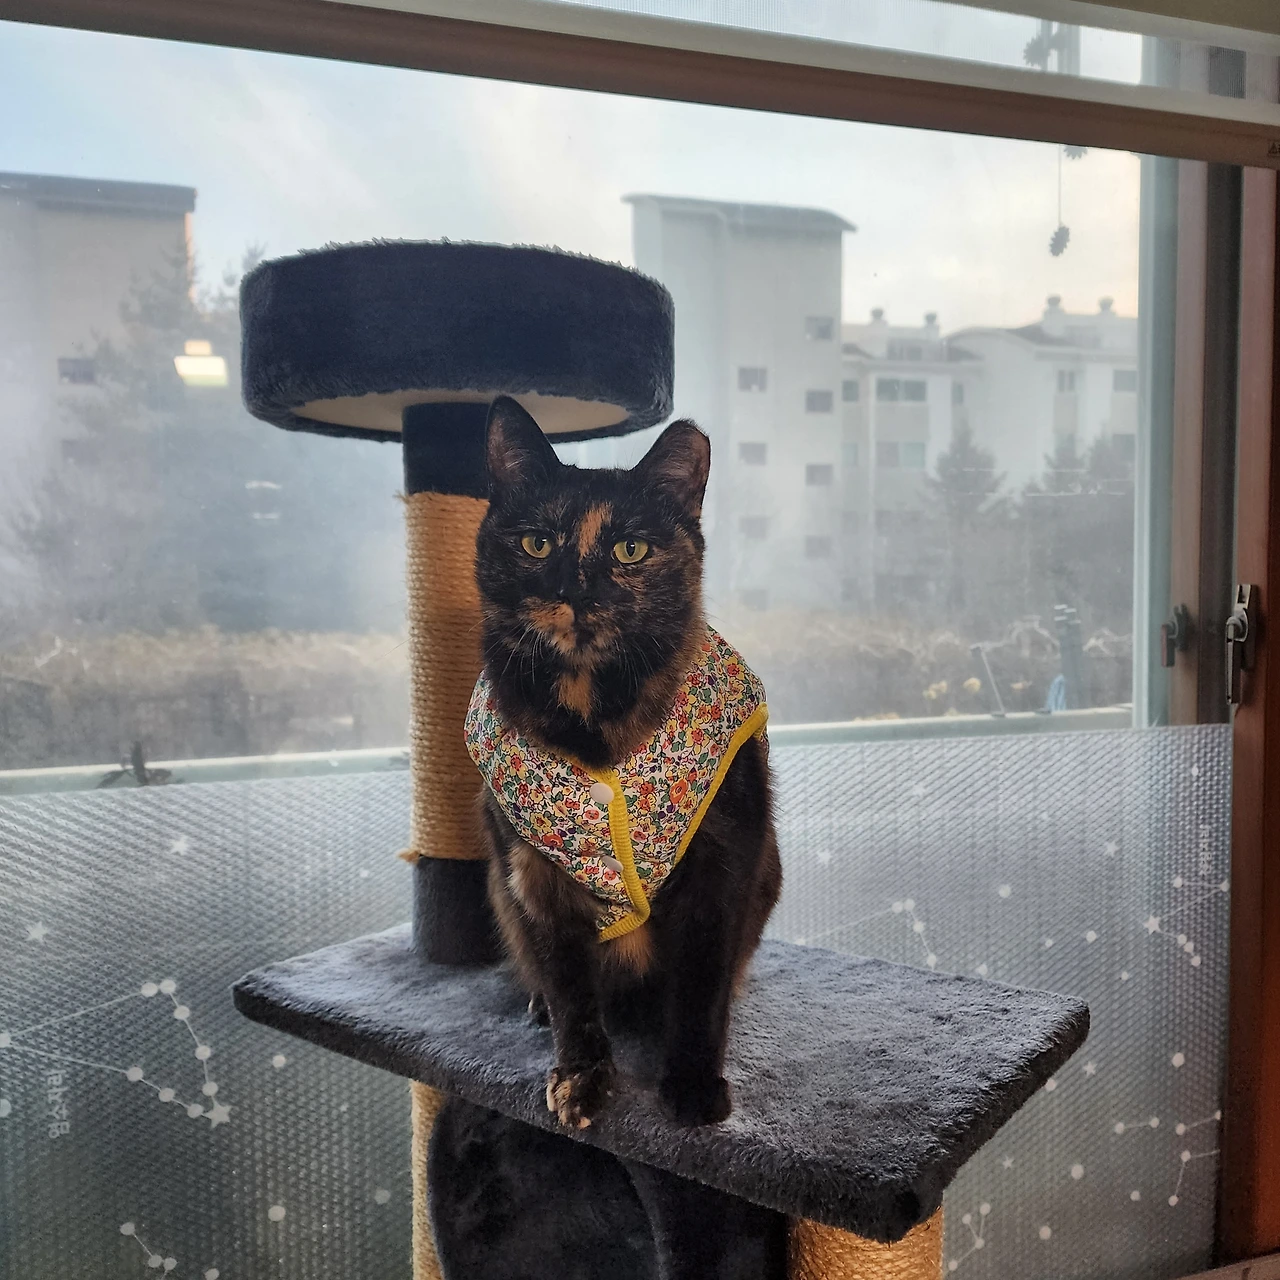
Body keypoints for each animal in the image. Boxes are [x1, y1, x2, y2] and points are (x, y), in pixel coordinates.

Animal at [469, 395, 781, 1130]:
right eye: (537, 543)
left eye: (630, 549)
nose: (577, 591)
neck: (596, 716)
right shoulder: (534, 877)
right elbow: (572, 992)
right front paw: (582, 1080)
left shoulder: (724, 860)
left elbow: (700, 987)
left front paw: (693, 1087)